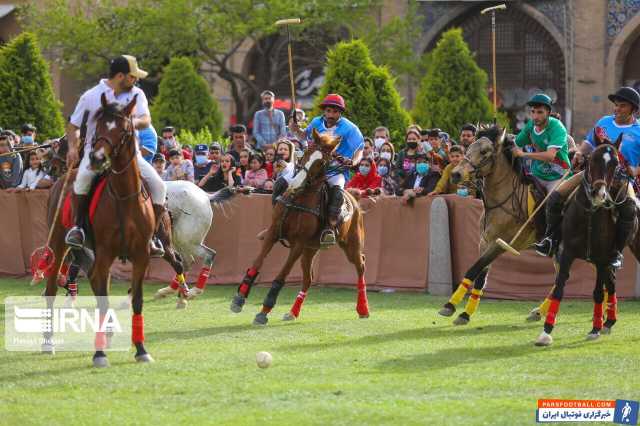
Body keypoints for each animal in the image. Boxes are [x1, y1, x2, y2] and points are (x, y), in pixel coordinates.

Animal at [44, 93, 158, 366]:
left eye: (124, 130)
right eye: (100, 126)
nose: (96, 158)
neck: (124, 196)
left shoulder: (141, 255)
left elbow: (136, 299)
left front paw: (141, 349)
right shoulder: (105, 252)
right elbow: (103, 297)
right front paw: (99, 354)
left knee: (97, 283)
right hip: (58, 244)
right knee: (52, 288)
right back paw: (49, 342)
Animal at [229, 128, 370, 324]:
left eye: (322, 162)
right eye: (306, 153)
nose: (295, 184)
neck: (299, 197)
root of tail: (354, 199)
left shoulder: (298, 243)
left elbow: (282, 275)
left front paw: (264, 310)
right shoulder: (273, 232)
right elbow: (257, 262)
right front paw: (239, 298)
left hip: (351, 244)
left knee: (360, 265)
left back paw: (363, 308)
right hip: (311, 249)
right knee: (308, 278)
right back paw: (292, 312)